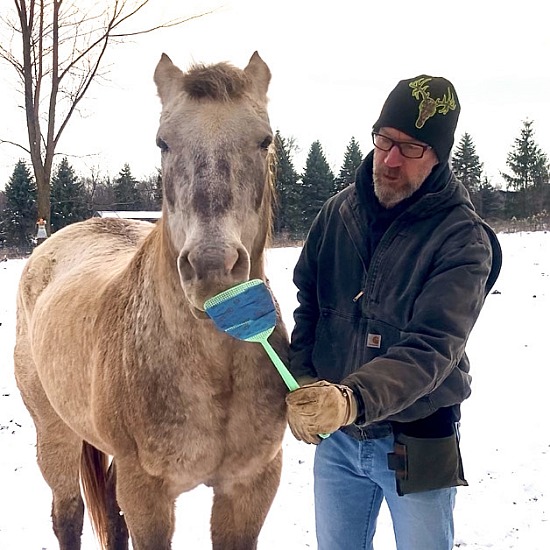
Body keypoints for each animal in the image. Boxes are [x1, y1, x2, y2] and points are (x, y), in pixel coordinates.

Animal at [14, 51, 288, 550]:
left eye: (265, 140)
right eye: (163, 142)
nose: (212, 268)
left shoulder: (249, 488)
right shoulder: (147, 492)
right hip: (55, 433)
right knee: (68, 514)